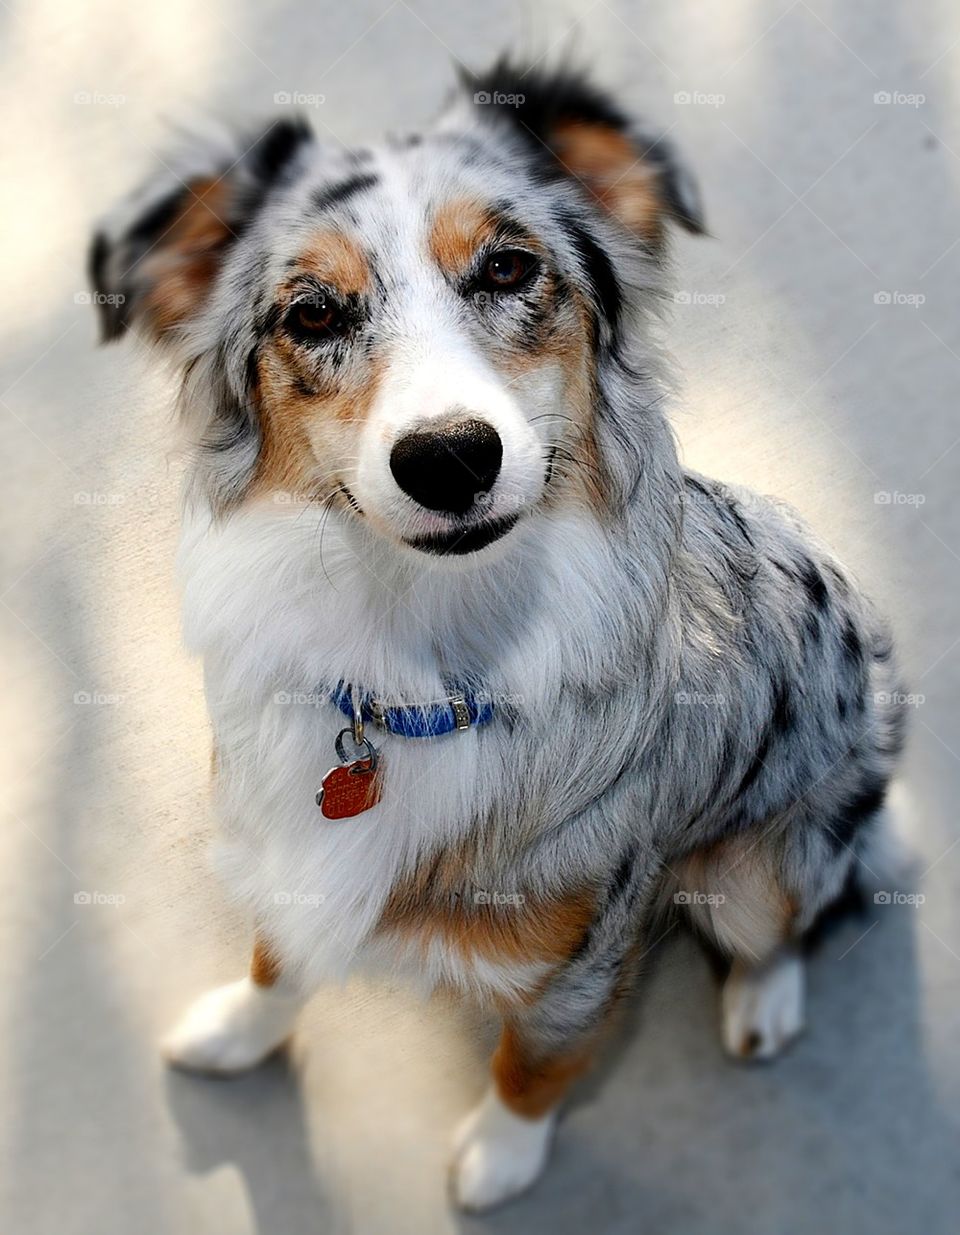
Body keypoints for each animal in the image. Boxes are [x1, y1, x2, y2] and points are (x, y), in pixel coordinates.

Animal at [92, 62, 904, 1210]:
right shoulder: (293, 843)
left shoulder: (582, 959)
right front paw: (236, 1030)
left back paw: (765, 1000)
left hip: (765, 858)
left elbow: (534, 1065)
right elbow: (275, 958)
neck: (422, 668)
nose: (448, 457)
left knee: (790, 919)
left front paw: (500, 1157)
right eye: (311, 311)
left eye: (511, 267)